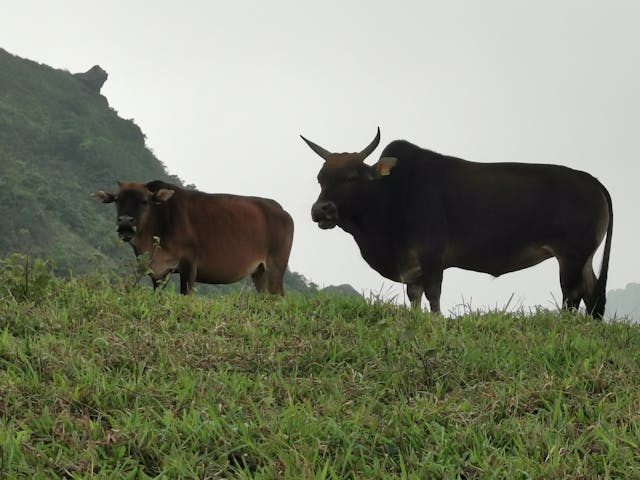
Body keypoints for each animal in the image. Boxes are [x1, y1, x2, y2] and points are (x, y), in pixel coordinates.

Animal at [91, 180, 294, 292]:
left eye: (144, 201)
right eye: (117, 200)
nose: (125, 222)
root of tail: (282, 211)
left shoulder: (189, 263)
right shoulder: (158, 271)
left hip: (276, 266)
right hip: (259, 272)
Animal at [302, 127, 612, 316]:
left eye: (351, 177)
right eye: (320, 178)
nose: (321, 209)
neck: (391, 194)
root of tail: (591, 180)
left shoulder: (432, 257)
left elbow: (433, 296)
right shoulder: (413, 268)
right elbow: (415, 297)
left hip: (571, 257)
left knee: (573, 296)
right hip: (584, 258)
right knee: (593, 295)